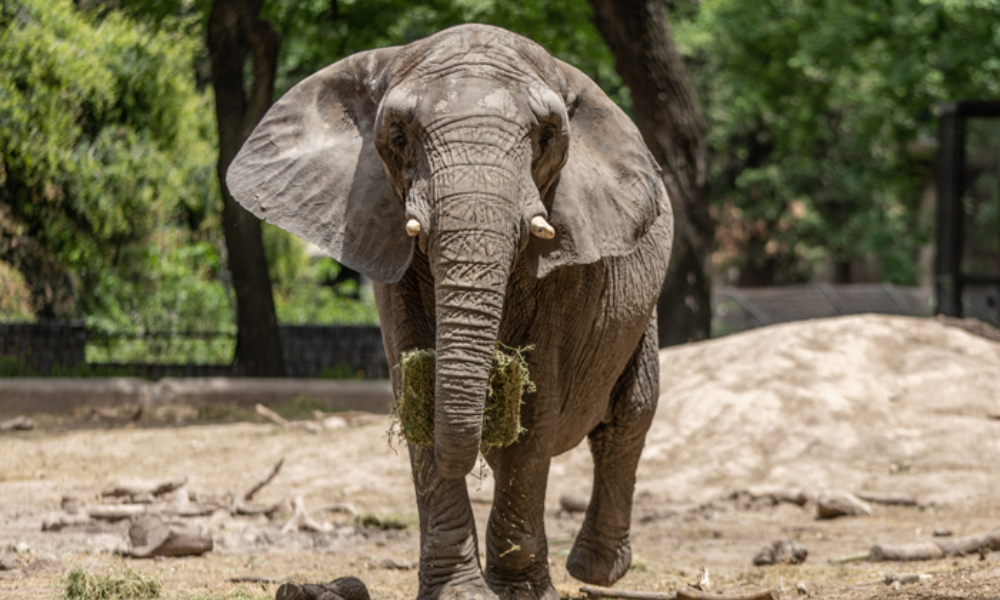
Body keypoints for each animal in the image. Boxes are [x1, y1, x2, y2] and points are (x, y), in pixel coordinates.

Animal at [228, 23, 673, 600]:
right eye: (398, 136)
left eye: (546, 137)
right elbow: (414, 384)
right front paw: (461, 592)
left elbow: (537, 404)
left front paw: (521, 594)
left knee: (629, 414)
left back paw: (595, 571)